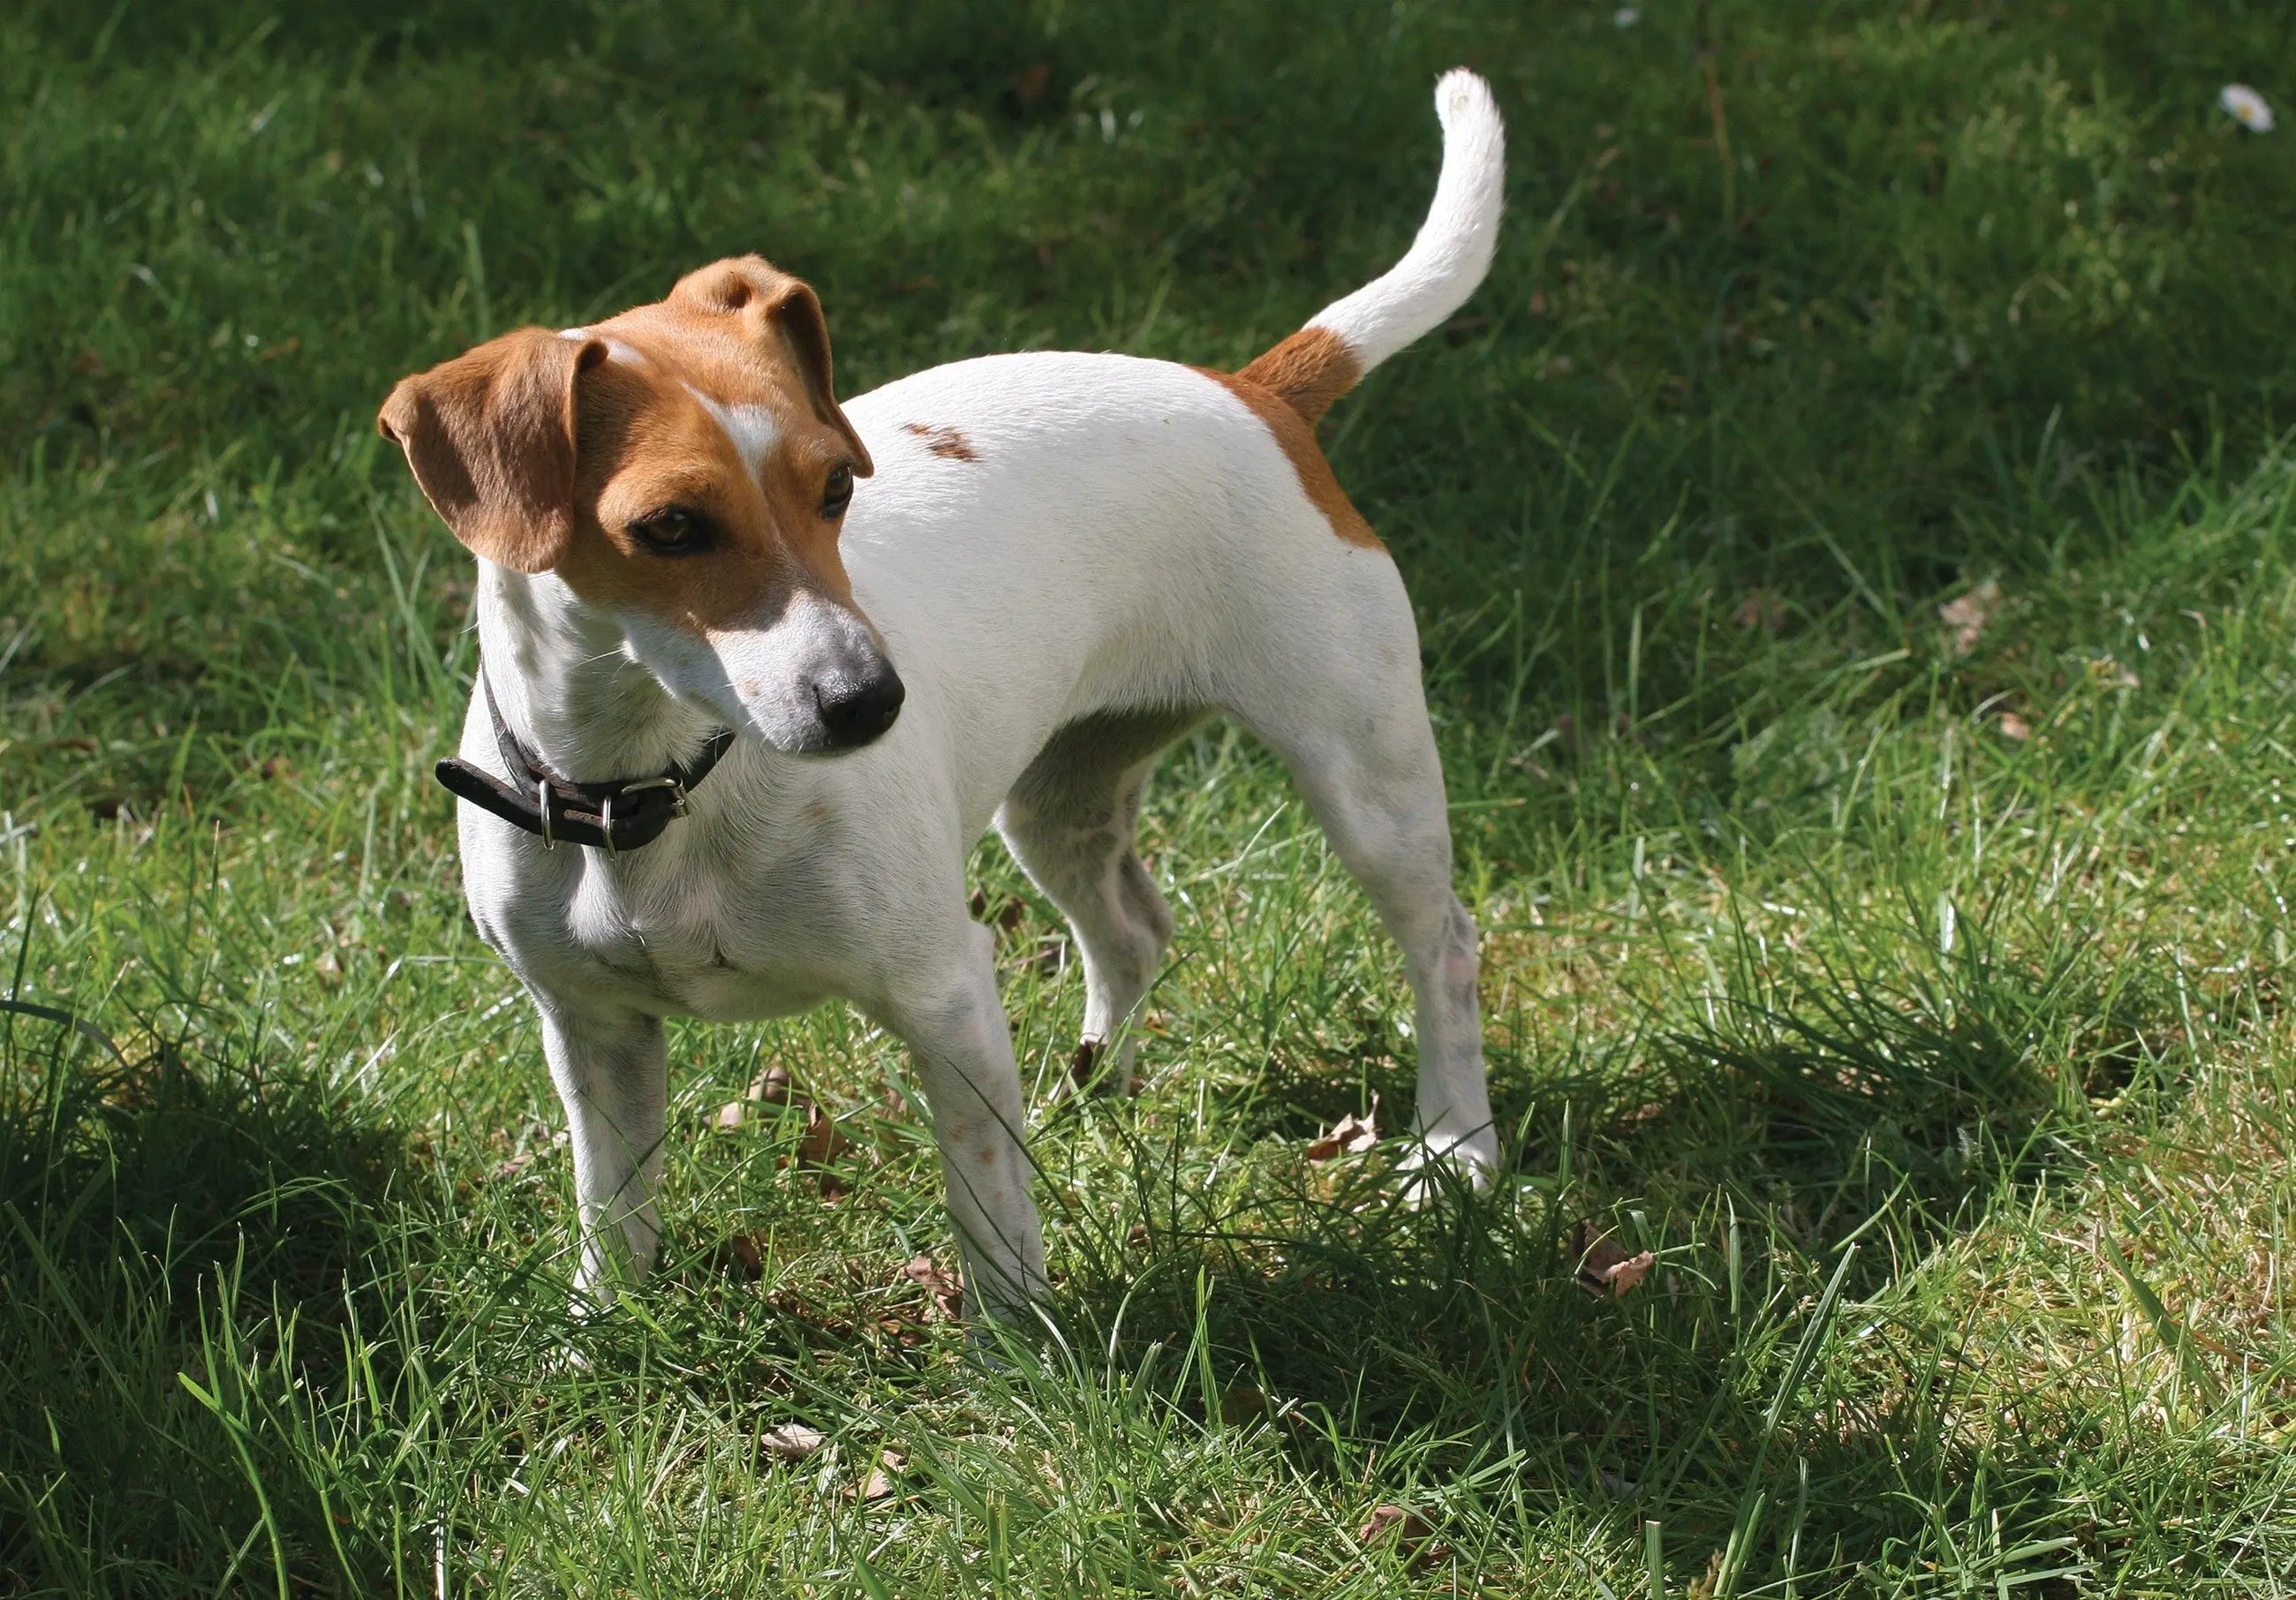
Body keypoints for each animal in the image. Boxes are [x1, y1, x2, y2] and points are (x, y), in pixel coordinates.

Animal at [381, 68, 1506, 1313]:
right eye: (669, 527)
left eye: (835, 488)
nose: (871, 703)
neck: (658, 782)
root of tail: (1252, 390)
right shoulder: (593, 1032)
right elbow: (610, 1217)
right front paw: (598, 1334)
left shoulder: (946, 996)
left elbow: (991, 1222)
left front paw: (1018, 1347)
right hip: (1057, 805)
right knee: (1133, 931)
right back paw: (1094, 1088)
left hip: (1365, 780)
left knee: (1443, 948)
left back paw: (1454, 1151)